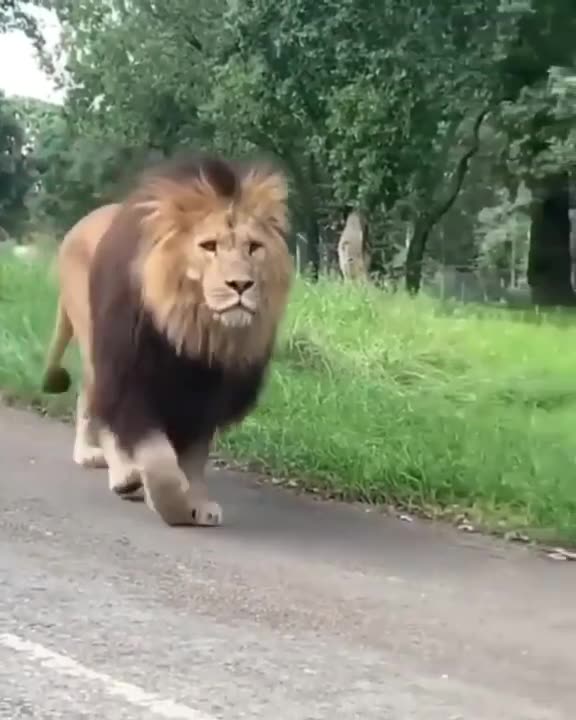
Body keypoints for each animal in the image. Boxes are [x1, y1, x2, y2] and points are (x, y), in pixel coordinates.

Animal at [40, 152, 294, 527]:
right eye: (209, 246)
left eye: (254, 248)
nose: (241, 285)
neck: (193, 330)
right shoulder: (130, 377)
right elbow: (158, 460)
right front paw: (170, 504)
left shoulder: (205, 397)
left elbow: (193, 458)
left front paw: (197, 501)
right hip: (95, 343)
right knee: (95, 405)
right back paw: (116, 472)